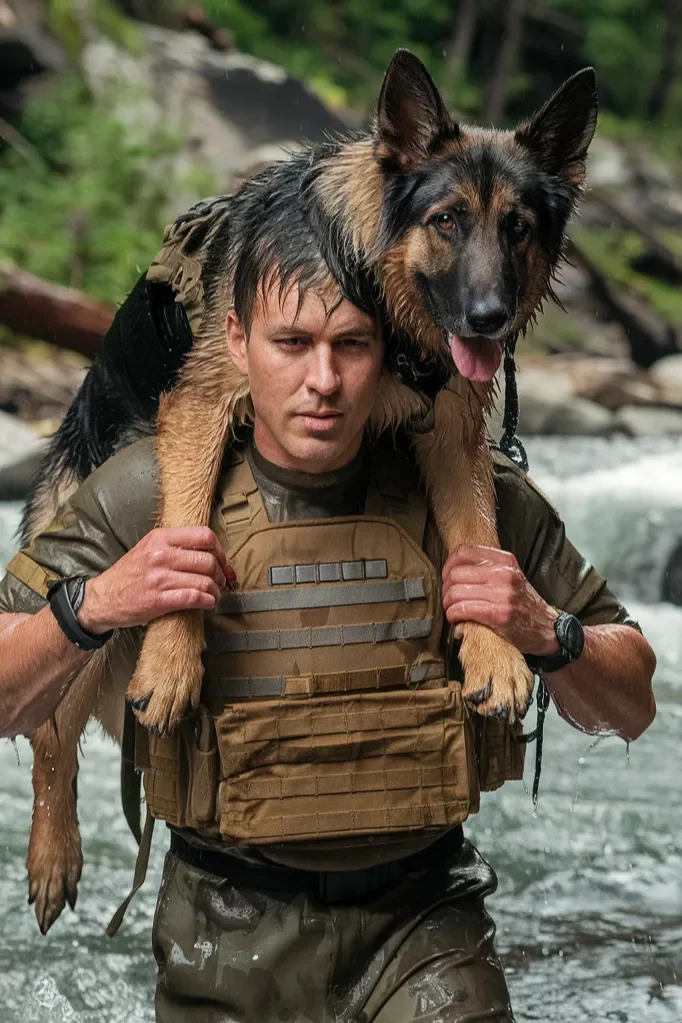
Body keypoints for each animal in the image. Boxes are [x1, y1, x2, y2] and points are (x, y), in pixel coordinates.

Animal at [24, 49, 597, 937]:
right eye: (446, 220)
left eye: (518, 227)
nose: (489, 318)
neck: (368, 286)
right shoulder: (201, 408)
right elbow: (184, 534)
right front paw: (173, 660)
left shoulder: (452, 439)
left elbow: (478, 539)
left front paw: (499, 650)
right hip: (80, 580)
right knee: (49, 722)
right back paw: (54, 854)